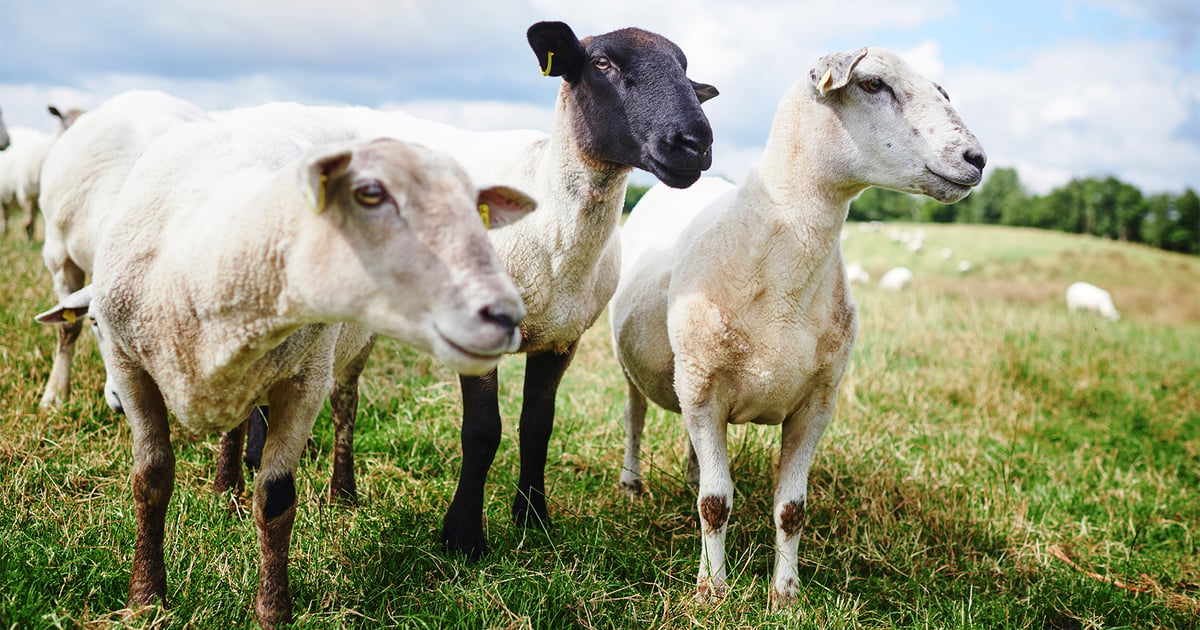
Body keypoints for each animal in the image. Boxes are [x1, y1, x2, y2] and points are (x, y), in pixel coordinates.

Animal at [0, 106, 85, 240]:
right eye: (63, 118)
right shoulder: (27, 193)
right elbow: (27, 223)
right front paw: (26, 243)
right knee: (6, 213)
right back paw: (5, 233)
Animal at [263, 20, 717, 559]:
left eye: (685, 70)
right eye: (603, 63)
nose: (695, 143)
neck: (551, 232)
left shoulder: (563, 339)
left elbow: (537, 426)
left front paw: (533, 518)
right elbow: (482, 431)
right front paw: (463, 537)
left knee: (336, 392)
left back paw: (331, 488)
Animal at [609, 47, 985, 608]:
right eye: (873, 84)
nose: (976, 158)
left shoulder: (817, 403)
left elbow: (791, 510)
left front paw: (785, 595)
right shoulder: (703, 388)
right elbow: (716, 503)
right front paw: (712, 590)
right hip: (643, 368)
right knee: (635, 420)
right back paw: (632, 485)